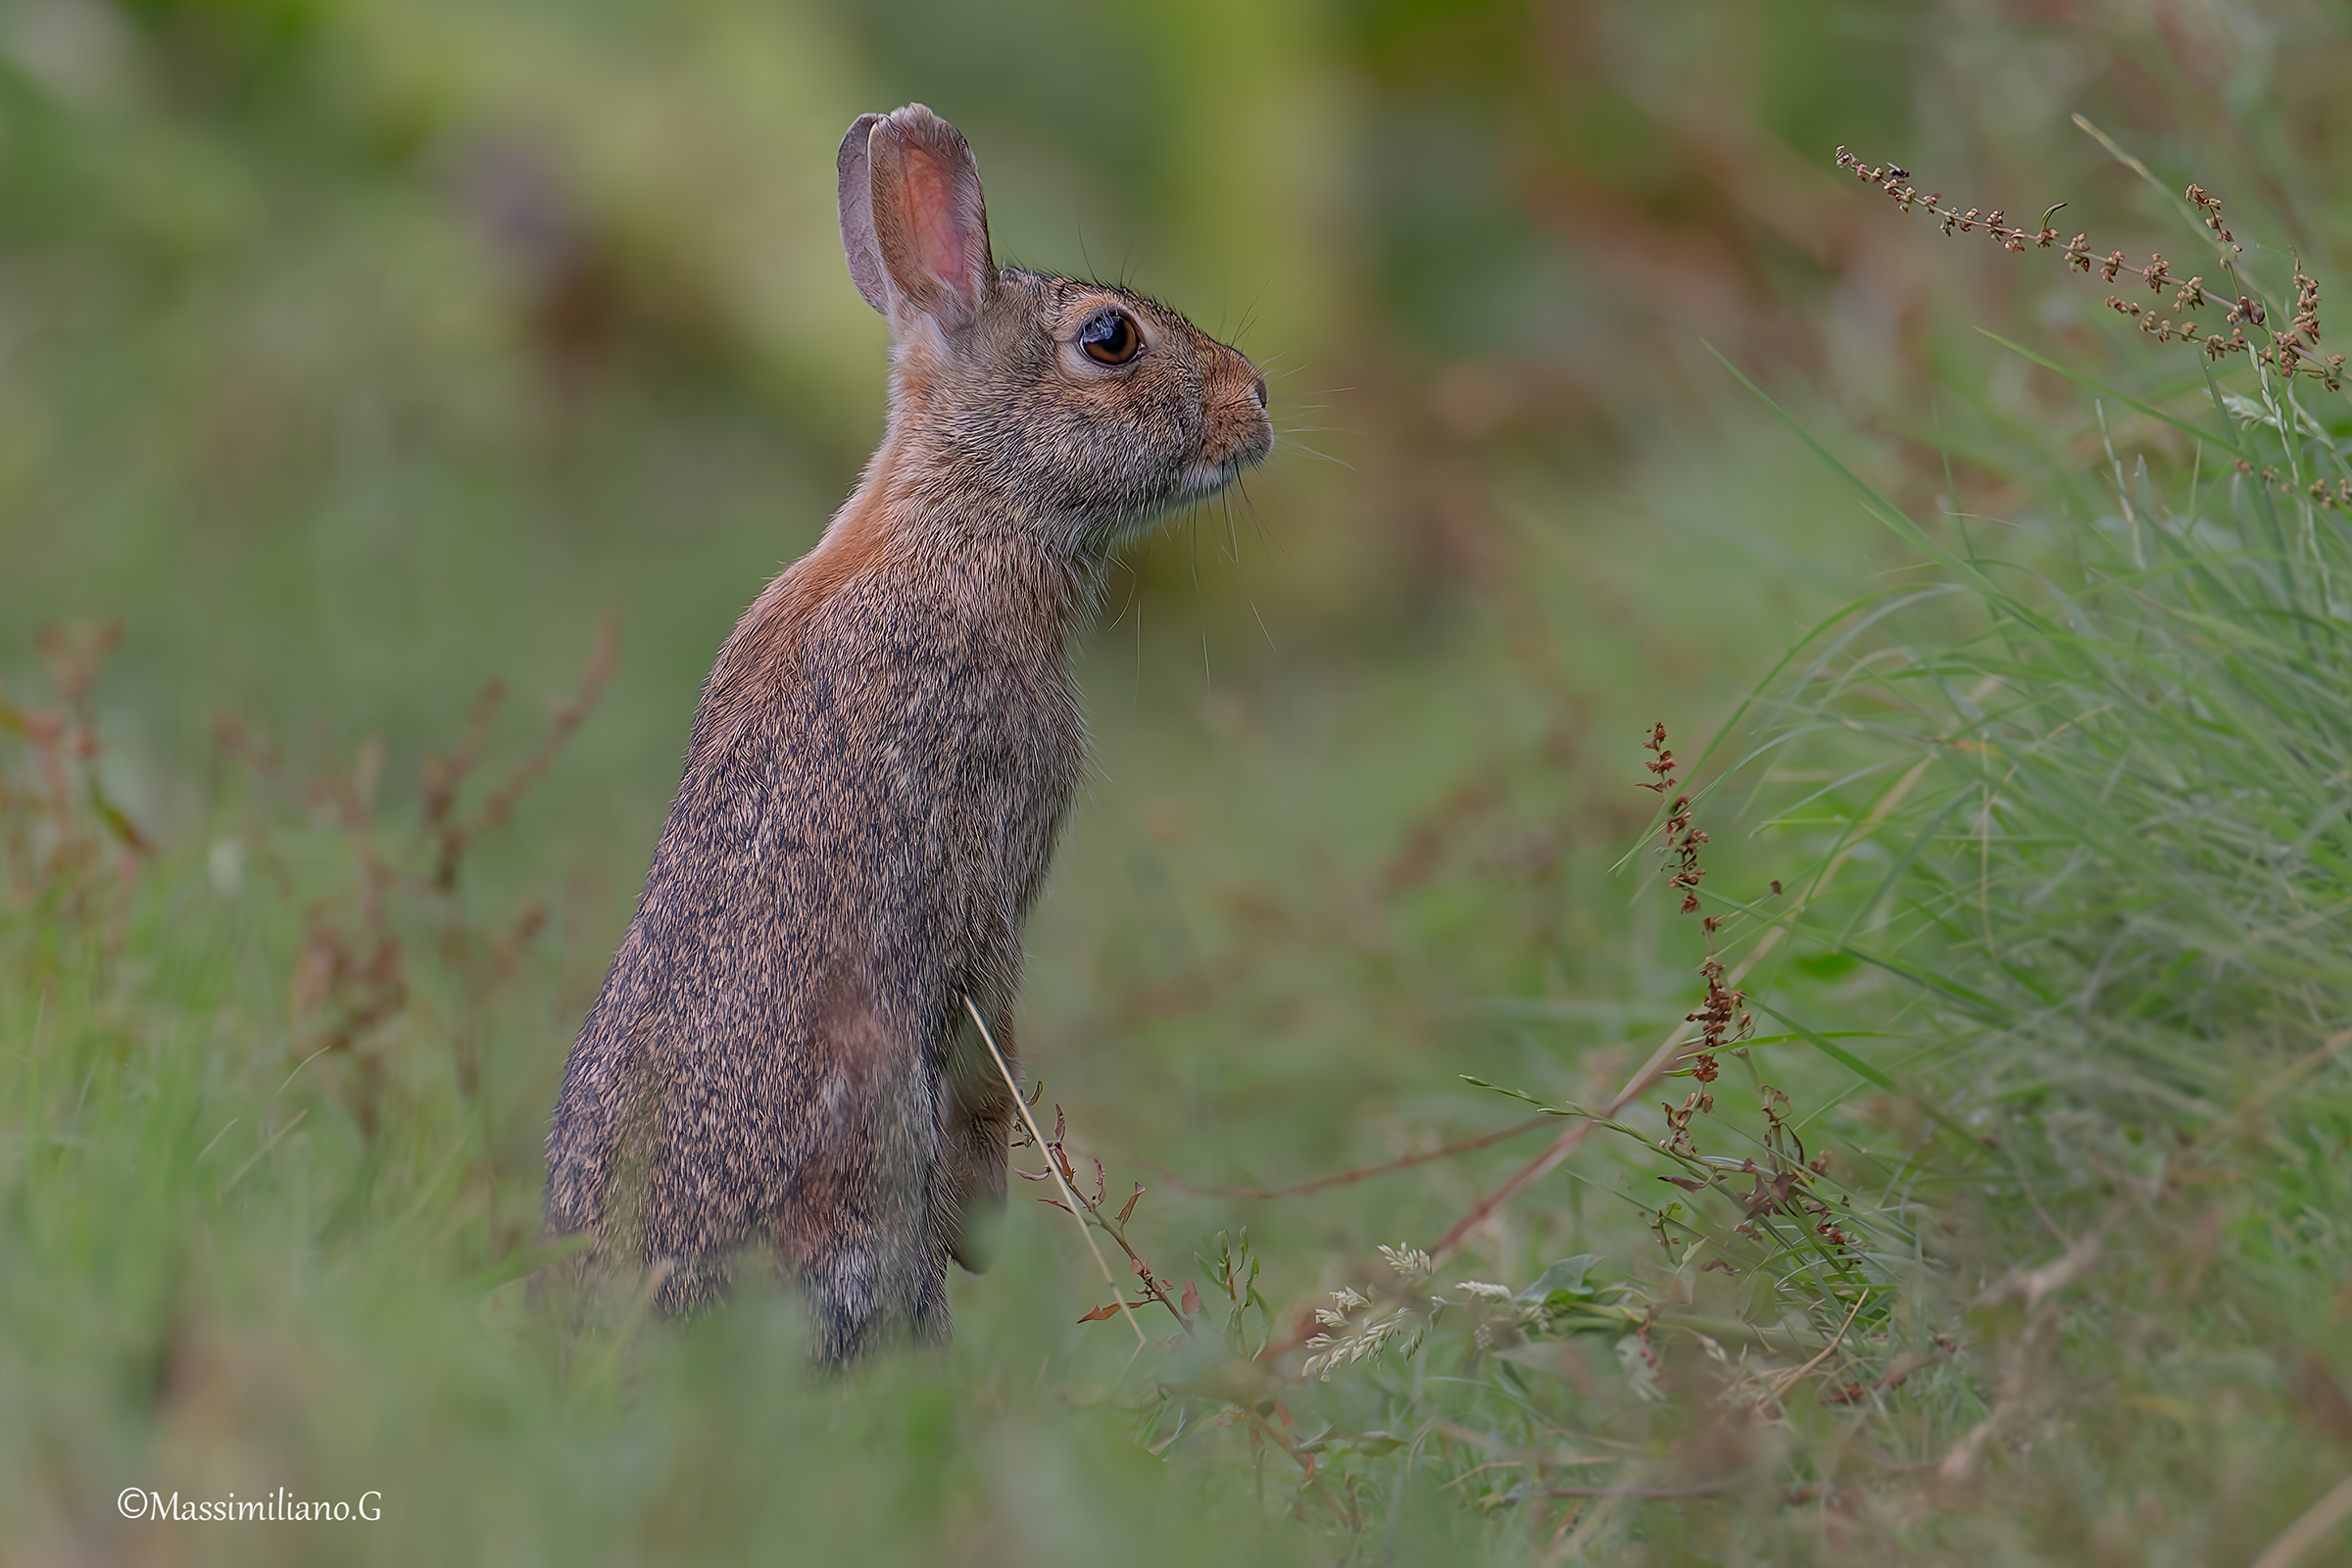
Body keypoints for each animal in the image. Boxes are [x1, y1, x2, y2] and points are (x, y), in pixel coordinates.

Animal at [542, 103, 1273, 1361]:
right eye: (1110, 338)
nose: (1258, 396)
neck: (967, 516)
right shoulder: (993, 858)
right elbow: (994, 1027)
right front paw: (991, 1218)